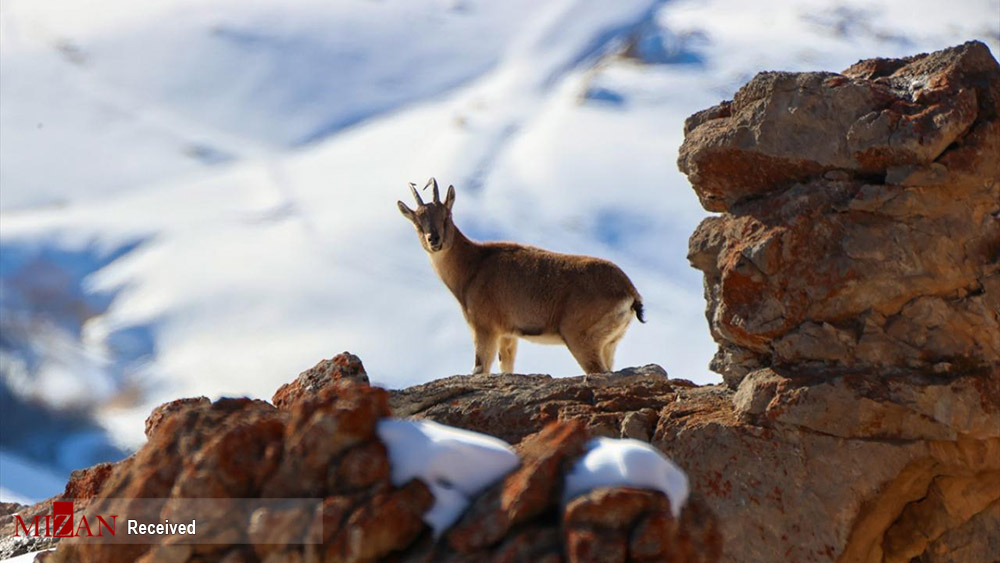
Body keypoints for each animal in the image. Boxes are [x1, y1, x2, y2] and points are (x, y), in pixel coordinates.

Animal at [398, 178, 648, 376]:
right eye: (417, 223)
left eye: (446, 216)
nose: (434, 239)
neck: (473, 265)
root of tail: (629, 291)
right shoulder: (508, 335)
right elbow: (506, 367)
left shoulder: (485, 328)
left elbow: (480, 369)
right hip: (609, 343)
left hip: (581, 337)